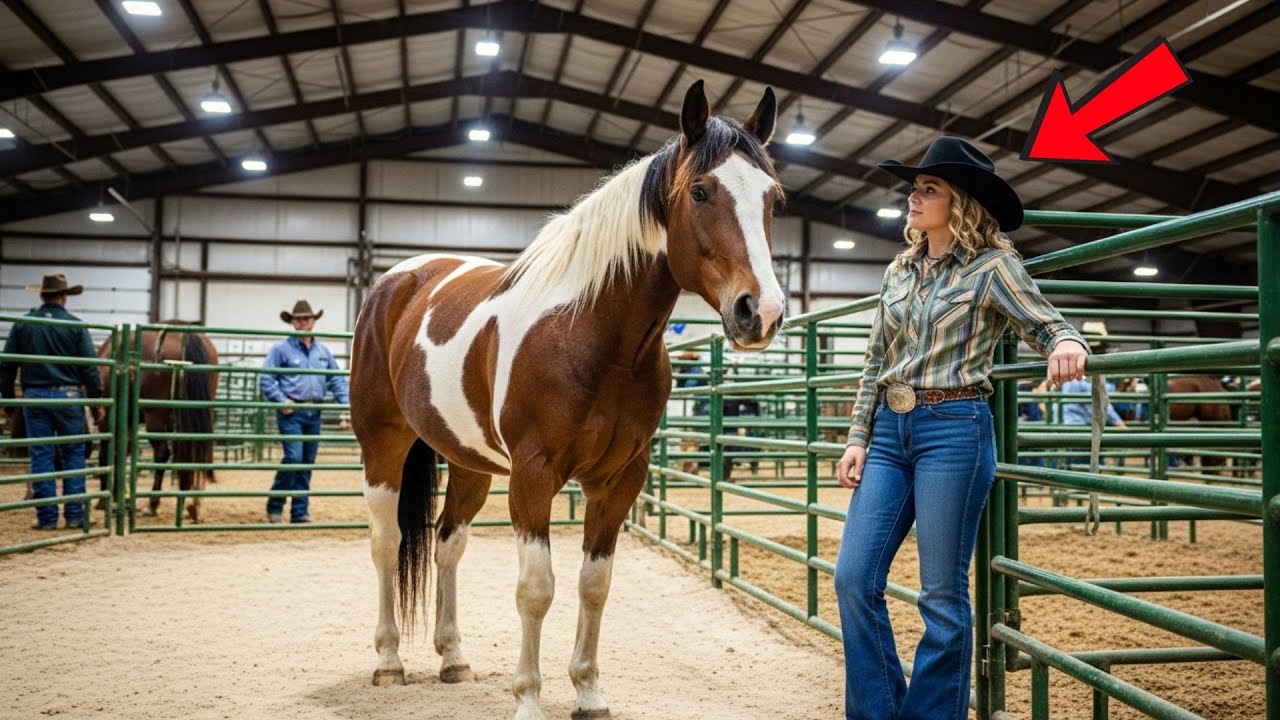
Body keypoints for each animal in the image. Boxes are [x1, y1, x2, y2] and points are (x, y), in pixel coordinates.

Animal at [99, 324, 219, 522]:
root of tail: (185, 335)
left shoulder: (108, 418)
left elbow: (109, 452)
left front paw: (107, 500)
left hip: (155, 414)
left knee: (162, 453)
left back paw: (153, 505)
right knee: (193, 451)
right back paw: (192, 505)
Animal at [349, 80, 784, 719]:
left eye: (772, 199)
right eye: (701, 190)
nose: (762, 312)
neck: (593, 335)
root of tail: (397, 280)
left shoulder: (618, 480)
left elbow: (593, 585)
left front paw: (588, 691)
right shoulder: (533, 476)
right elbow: (537, 589)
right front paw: (529, 698)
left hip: (469, 463)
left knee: (447, 546)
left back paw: (453, 657)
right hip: (383, 446)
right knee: (387, 544)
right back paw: (388, 662)